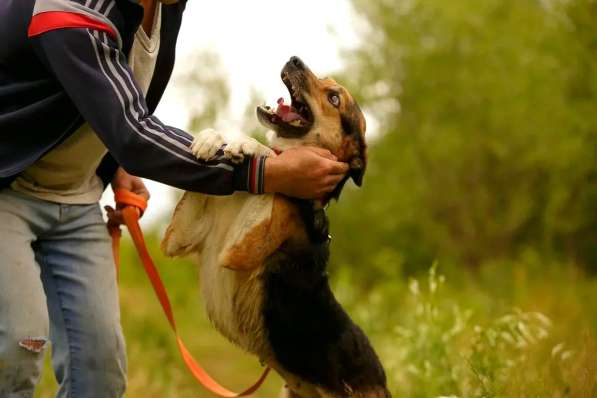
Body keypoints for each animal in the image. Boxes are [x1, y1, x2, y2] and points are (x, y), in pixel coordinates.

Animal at [162, 56, 392, 398]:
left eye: (334, 98)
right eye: (327, 82)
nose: (294, 59)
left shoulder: (239, 249)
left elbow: (272, 153)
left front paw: (249, 146)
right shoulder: (182, 234)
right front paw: (211, 139)